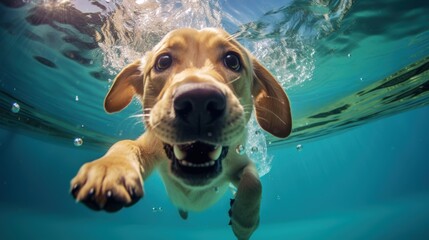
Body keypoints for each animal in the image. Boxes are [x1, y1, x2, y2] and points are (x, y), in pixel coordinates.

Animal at [71, 27, 290, 238]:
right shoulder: (150, 147)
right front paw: (109, 170)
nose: (199, 101)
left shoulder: (240, 161)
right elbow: (124, 144)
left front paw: (244, 221)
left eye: (232, 60)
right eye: (163, 61)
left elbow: (254, 182)